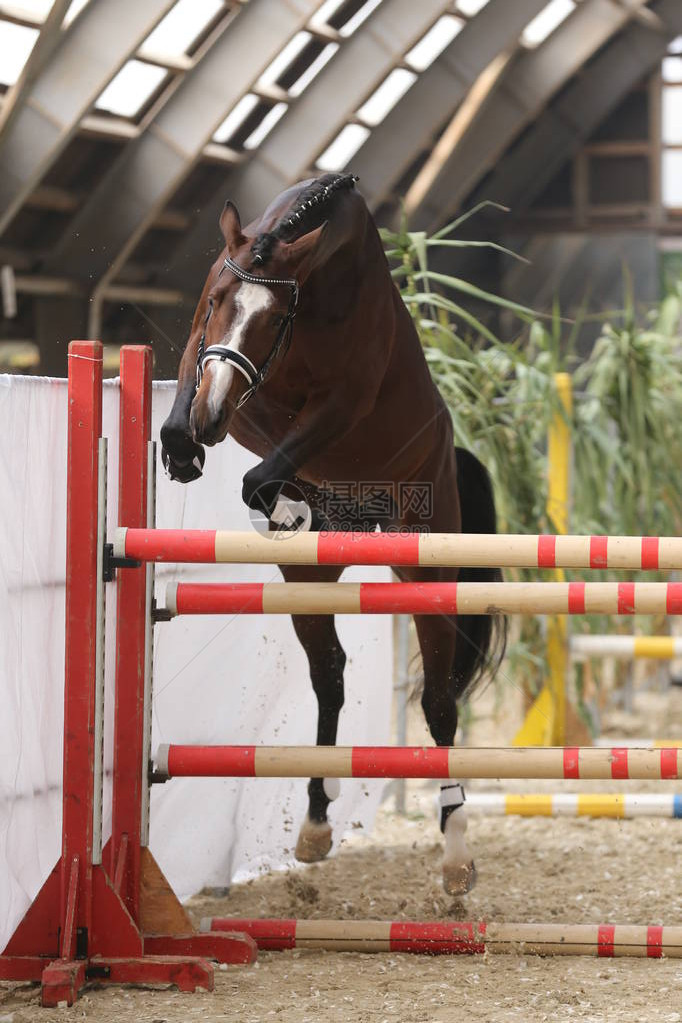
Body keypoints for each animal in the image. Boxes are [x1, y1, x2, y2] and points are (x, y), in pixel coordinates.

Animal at [157, 171, 505, 892]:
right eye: (216, 299)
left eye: (273, 319)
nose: (209, 421)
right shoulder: (209, 356)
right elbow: (195, 389)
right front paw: (184, 448)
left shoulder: (340, 403)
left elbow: (263, 469)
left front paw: (276, 502)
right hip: (311, 581)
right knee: (331, 676)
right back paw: (317, 821)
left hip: (426, 569)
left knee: (438, 701)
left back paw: (456, 854)